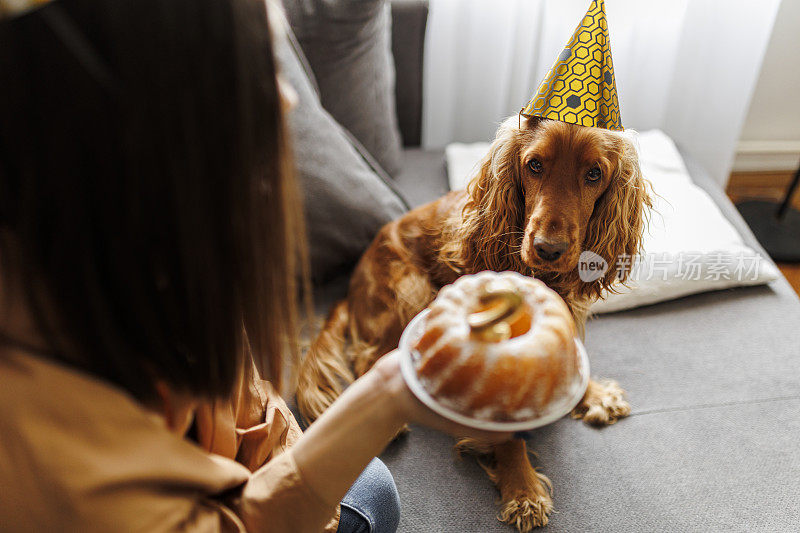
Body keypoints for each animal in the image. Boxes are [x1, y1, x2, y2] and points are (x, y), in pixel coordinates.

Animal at [296, 114, 652, 528]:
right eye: (535, 165)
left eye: (594, 173)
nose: (548, 249)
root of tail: (353, 281)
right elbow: (508, 434)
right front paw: (523, 490)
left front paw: (592, 393)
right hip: (410, 290)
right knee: (367, 355)